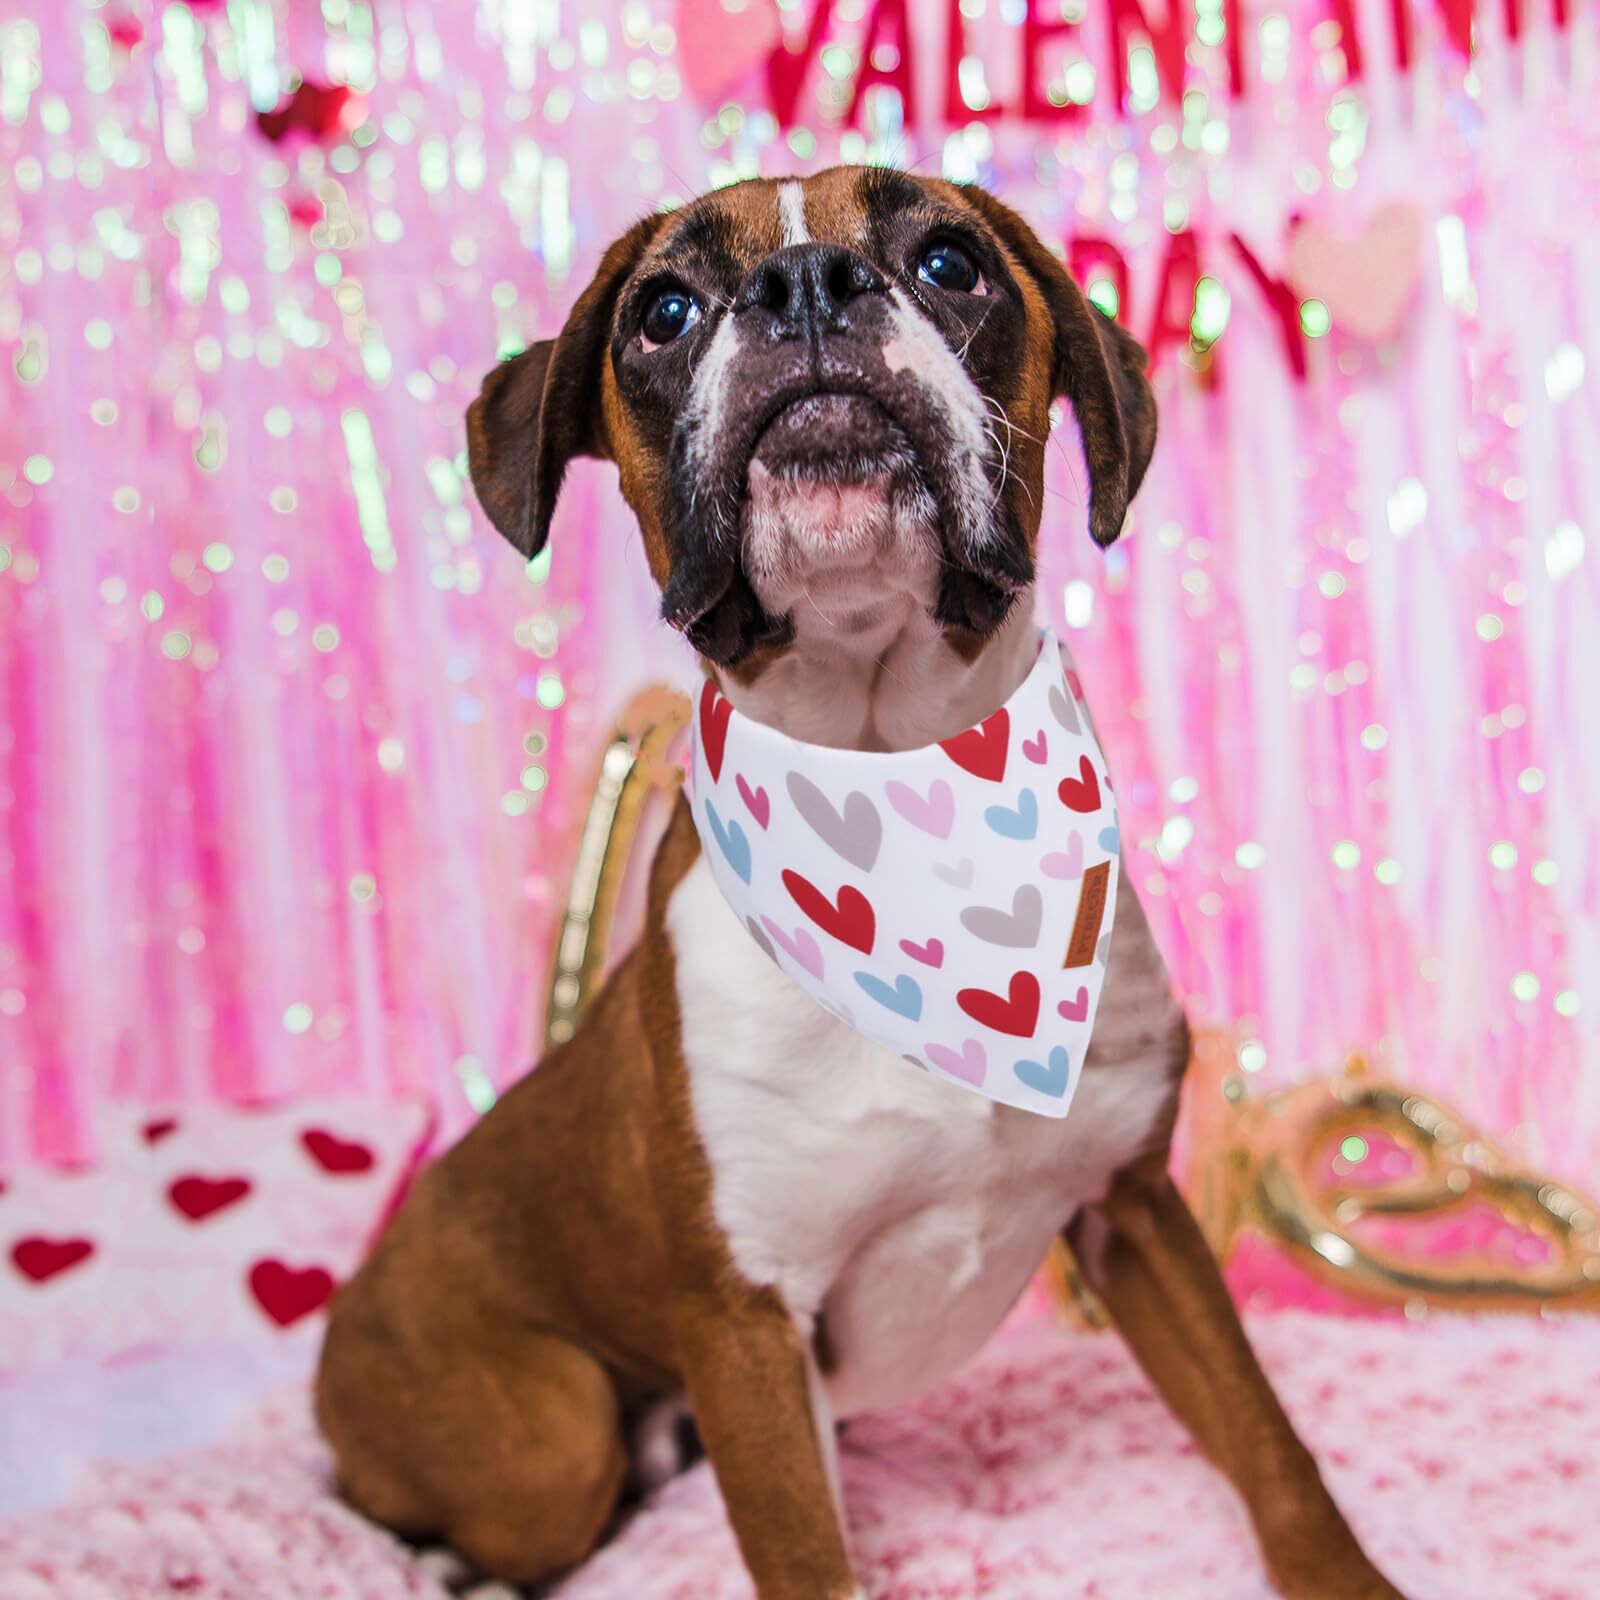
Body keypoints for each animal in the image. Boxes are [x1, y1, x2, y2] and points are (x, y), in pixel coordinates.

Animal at [316, 167, 1407, 1600]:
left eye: (950, 260)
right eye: (664, 311)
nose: (805, 286)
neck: (899, 800)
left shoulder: (1136, 1215)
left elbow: (1268, 1442)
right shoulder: (747, 1325)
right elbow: (807, 1557)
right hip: (546, 1431)